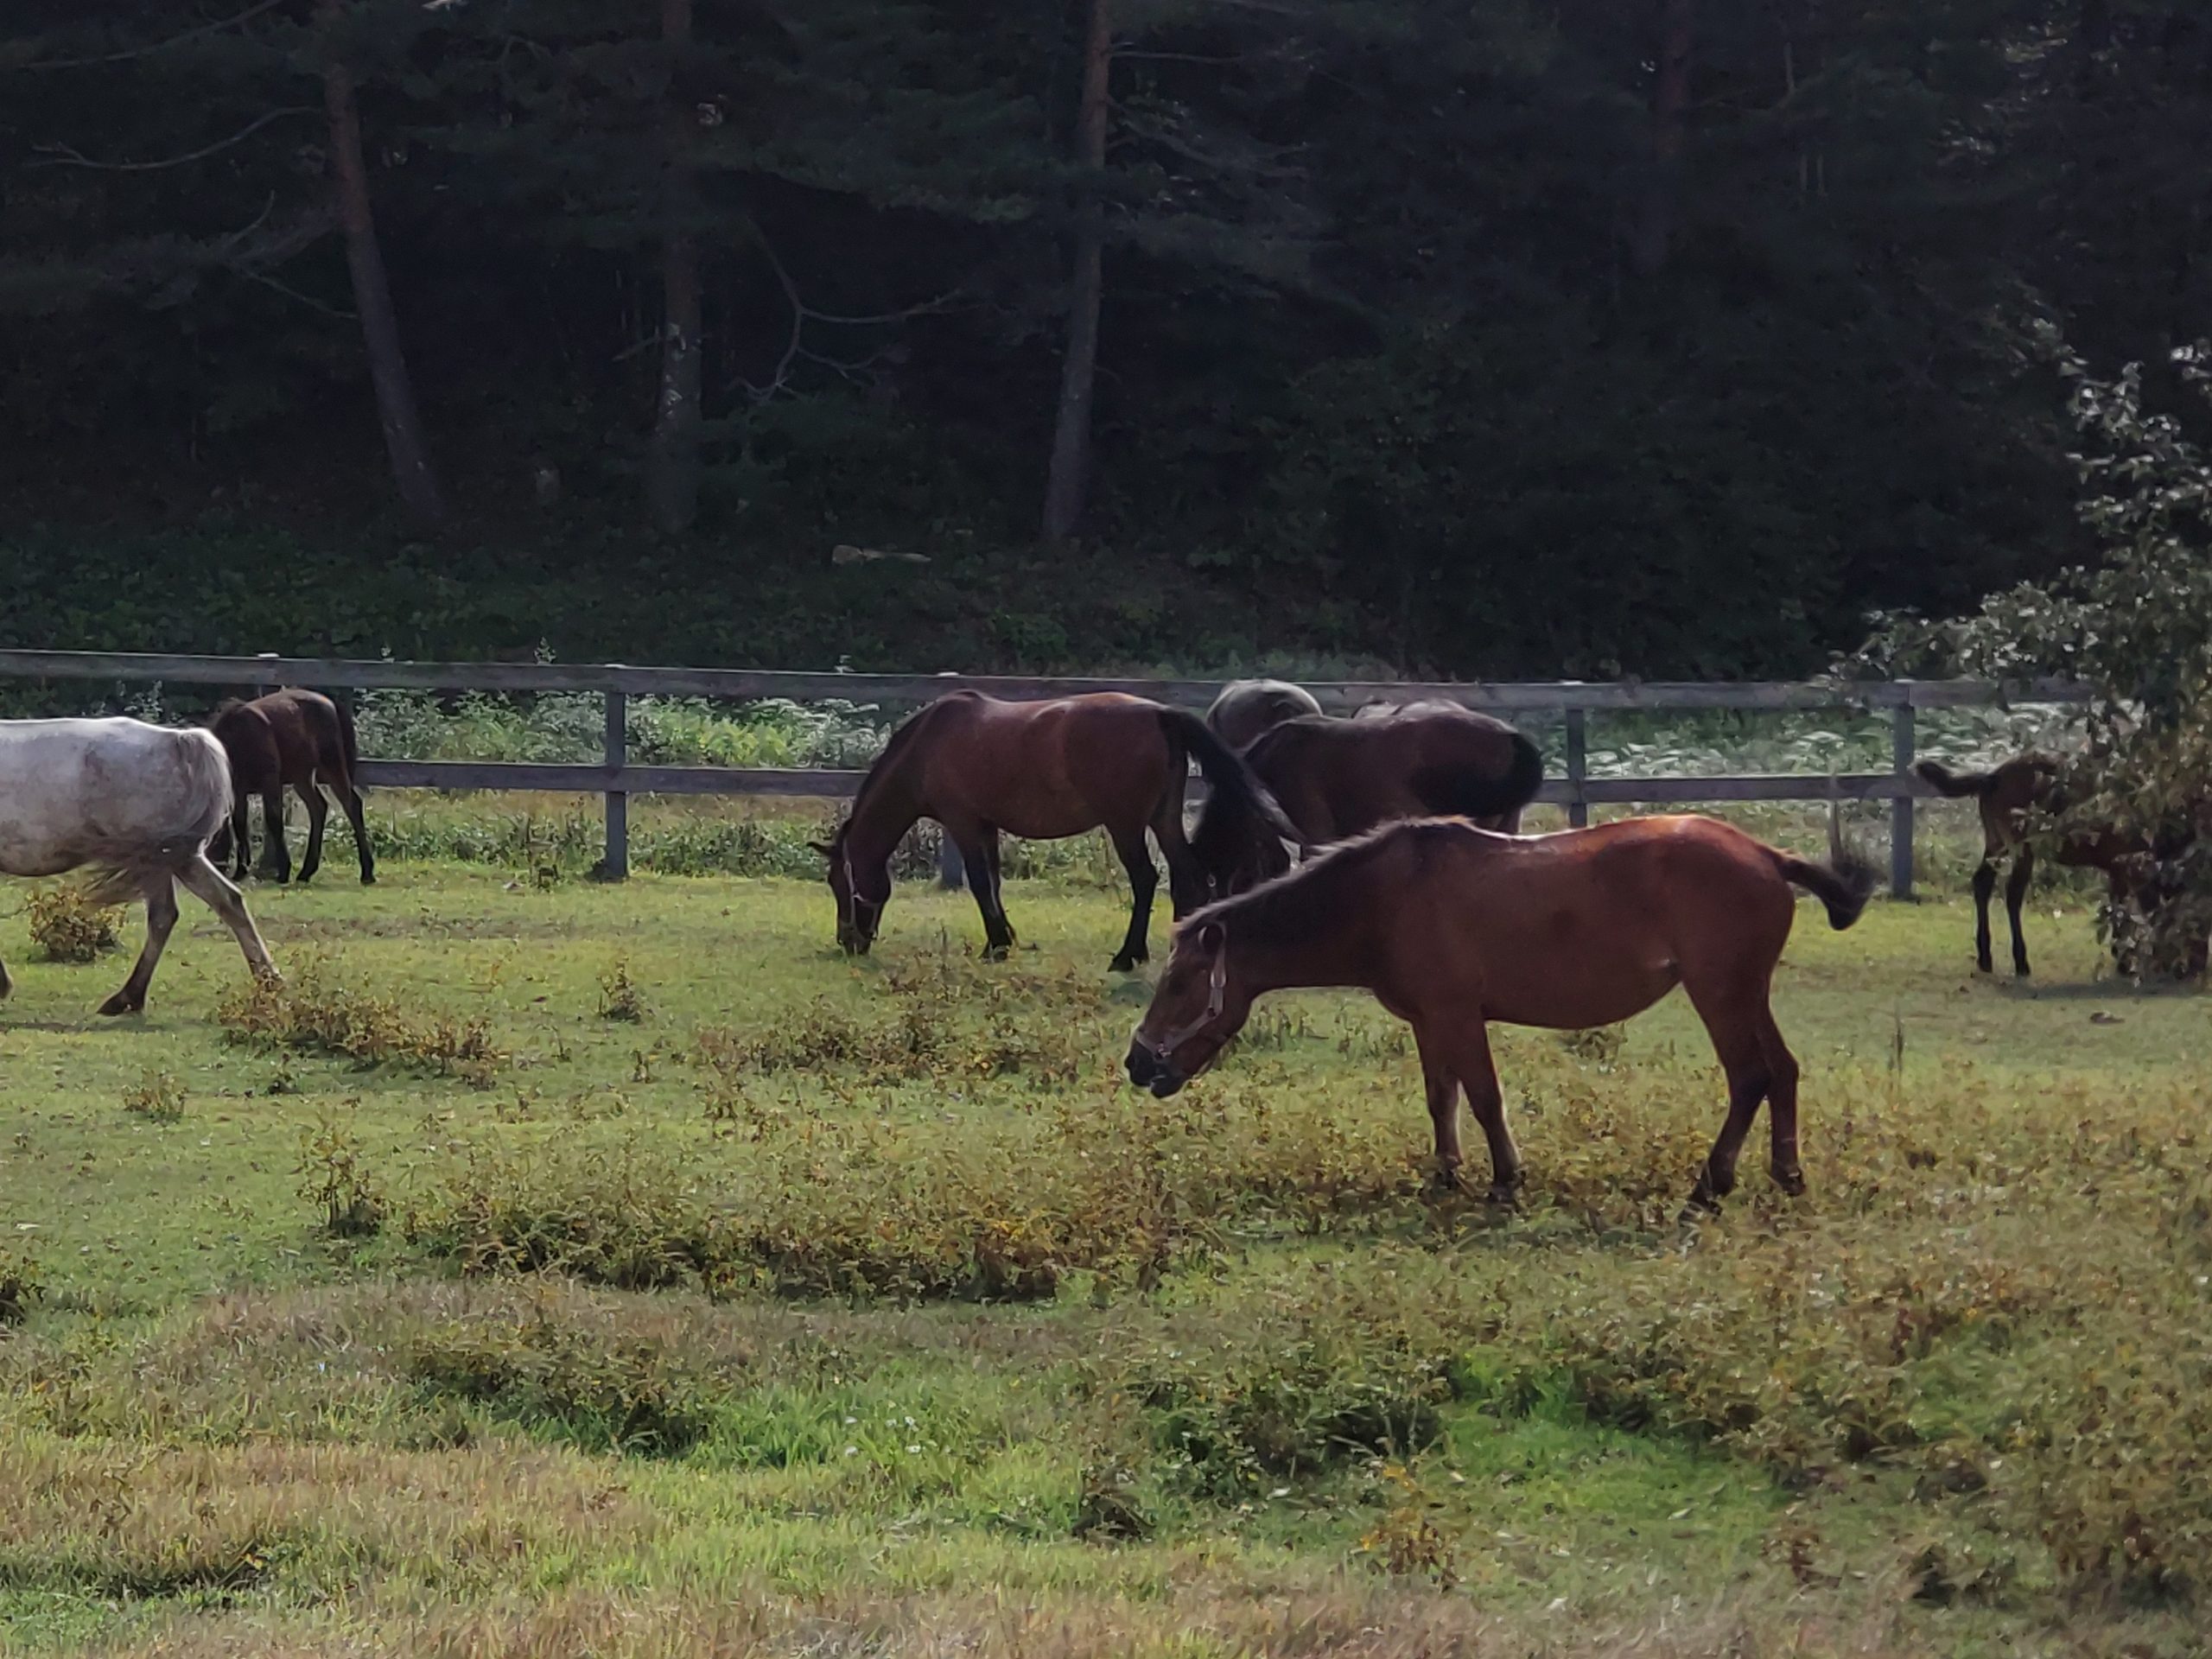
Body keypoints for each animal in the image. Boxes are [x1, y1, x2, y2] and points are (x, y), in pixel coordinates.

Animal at [0, 717, 280, 1014]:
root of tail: (180, 741)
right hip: (175, 859)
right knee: (224, 903)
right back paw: (268, 982)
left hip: (161, 860)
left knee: (168, 915)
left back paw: (127, 996)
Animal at [208, 689, 374, 886]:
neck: (238, 739)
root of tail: (330, 703)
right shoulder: (238, 791)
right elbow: (240, 823)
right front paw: (241, 870)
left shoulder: (270, 783)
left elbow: (274, 821)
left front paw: (283, 871)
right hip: (302, 777)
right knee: (318, 808)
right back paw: (306, 871)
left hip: (332, 767)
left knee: (351, 805)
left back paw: (367, 872)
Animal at [812, 690, 1301, 972]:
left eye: (838, 883)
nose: (847, 941)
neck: (927, 743)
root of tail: (1160, 713)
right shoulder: (986, 826)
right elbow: (993, 883)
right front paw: (1004, 938)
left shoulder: (964, 823)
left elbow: (979, 883)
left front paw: (996, 945)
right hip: (1162, 821)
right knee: (1190, 877)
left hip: (1126, 826)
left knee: (1147, 880)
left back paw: (1127, 956)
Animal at [1126, 811, 1875, 1216]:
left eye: (1183, 982)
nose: (1137, 1062)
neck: (1382, 900)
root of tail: (1769, 855)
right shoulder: (1429, 1021)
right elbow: (1443, 1099)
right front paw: (1445, 1174)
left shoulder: (1459, 1016)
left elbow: (1485, 1098)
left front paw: (1505, 1180)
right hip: (1747, 992)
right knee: (1783, 1072)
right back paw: (1786, 1174)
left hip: (1720, 993)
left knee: (1750, 1078)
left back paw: (1710, 1184)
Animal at [1916, 755, 2203, 978]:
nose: (2189, 968)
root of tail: (1992, 777)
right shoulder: (2134, 868)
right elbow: (2143, 911)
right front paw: (2130, 962)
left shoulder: (2116, 870)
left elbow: (2118, 910)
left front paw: (2122, 959)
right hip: (2022, 847)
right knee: (2013, 894)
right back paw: (2021, 962)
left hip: (1996, 843)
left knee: (1982, 882)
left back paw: (1985, 958)